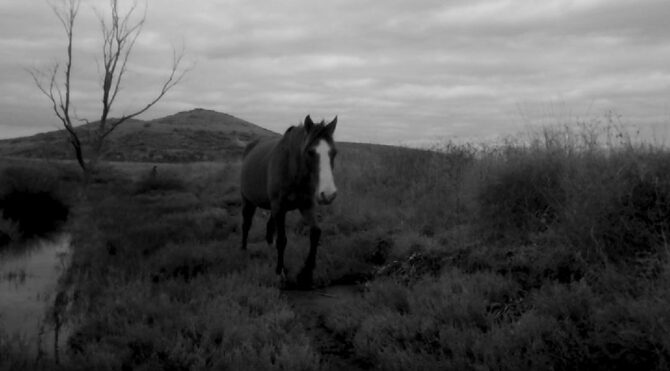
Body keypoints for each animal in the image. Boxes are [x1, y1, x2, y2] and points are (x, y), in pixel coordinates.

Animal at [240, 115, 338, 286]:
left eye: (334, 152)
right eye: (310, 152)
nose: (328, 194)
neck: (291, 169)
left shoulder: (306, 205)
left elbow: (315, 232)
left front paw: (306, 273)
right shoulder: (279, 207)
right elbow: (282, 240)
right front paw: (280, 272)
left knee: (269, 227)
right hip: (249, 201)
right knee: (246, 224)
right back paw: (244, 249)